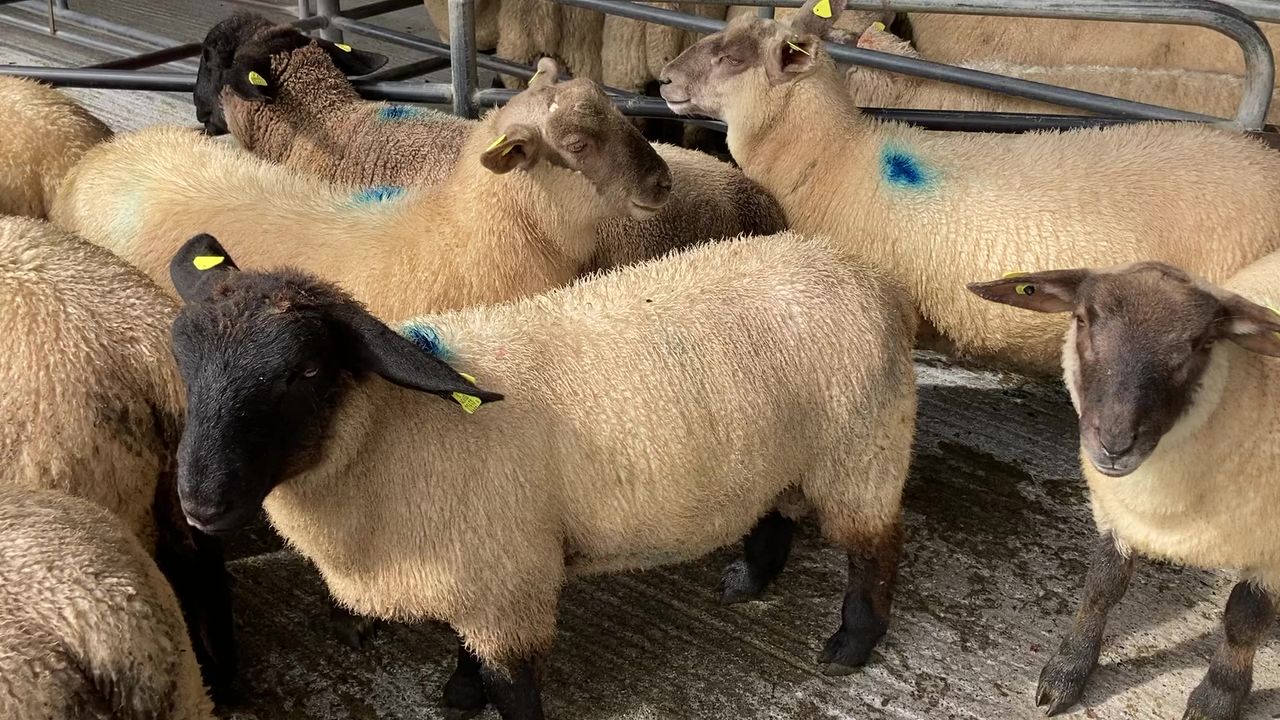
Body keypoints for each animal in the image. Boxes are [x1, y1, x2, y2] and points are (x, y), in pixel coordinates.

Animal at [166, 228, 916, 719]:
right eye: (181, 360)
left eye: (306, 370)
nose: (199, 503)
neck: (395, 434)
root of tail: (860, 269)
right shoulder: (481, 573)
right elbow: (466, 650)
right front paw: (459, 695)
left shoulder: (509, 580)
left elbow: (512, 687)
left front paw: (478, 696)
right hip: (788, 451)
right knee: (776, 511)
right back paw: (750, 581)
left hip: (864, 451)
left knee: (874, 552)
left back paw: (851, 644)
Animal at [967, 257, 1280, 720]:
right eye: (1081, 319)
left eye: (1202, 343)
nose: (1114, 445)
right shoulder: (1119, 513)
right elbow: (1102, 584)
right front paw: (1068, 669)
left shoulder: (1268, 544)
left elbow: (1244, 620)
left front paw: (1218, 697)